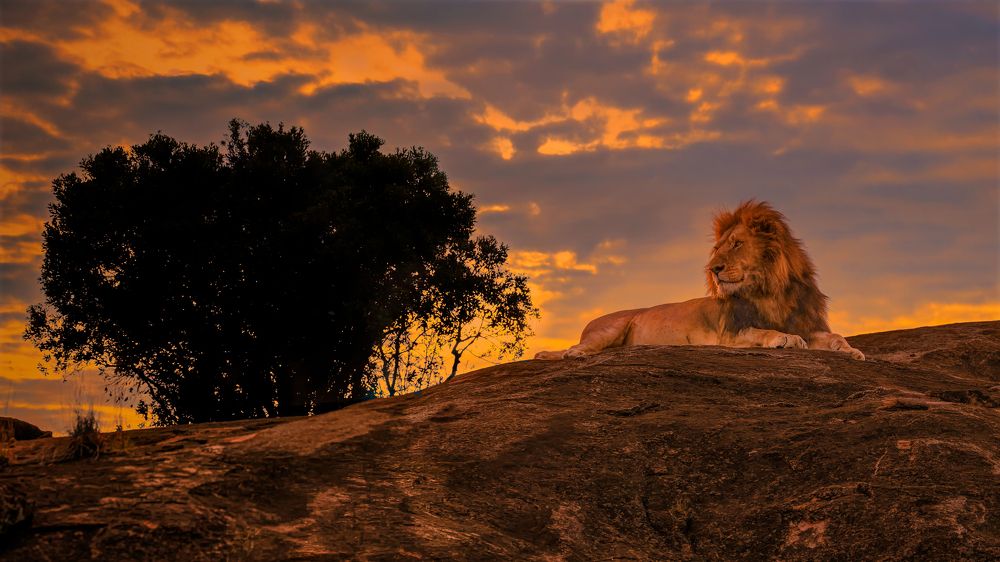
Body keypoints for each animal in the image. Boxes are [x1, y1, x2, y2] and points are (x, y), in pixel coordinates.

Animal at [534, 200, 865, 361]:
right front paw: (785, 339)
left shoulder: (806, 323)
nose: (713, 268)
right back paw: (569, 353)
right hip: (609, 328)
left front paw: (852, 351)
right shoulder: (728, 335)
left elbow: (834, 337)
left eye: (736, 244)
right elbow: (763, 331)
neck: (770, 291)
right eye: (718, 248)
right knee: (578, 347)